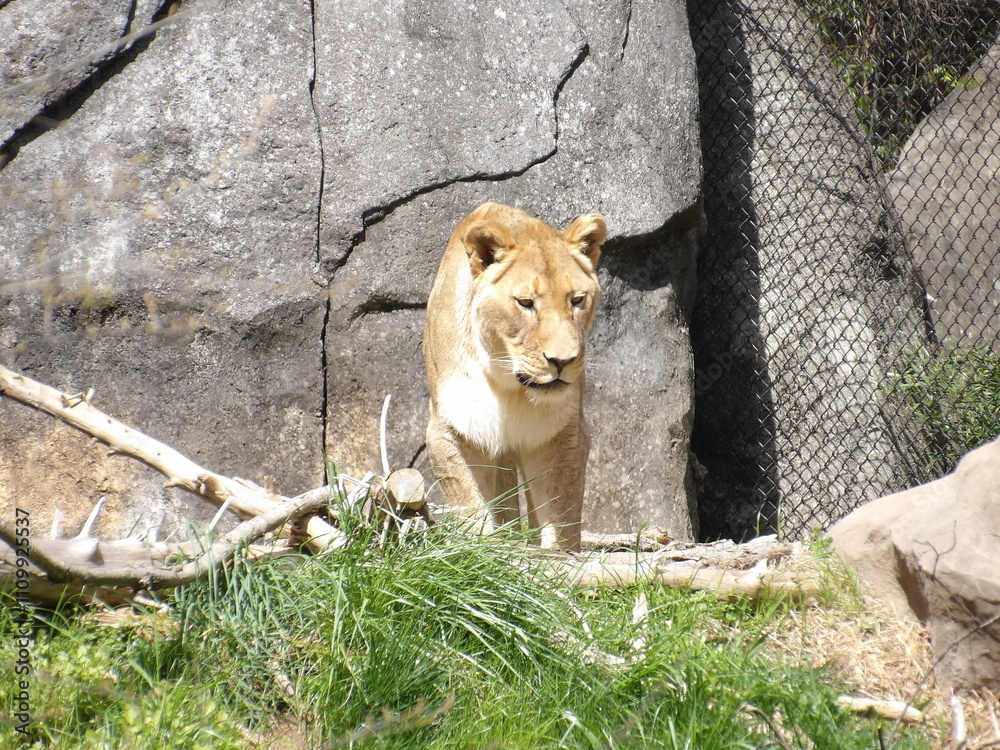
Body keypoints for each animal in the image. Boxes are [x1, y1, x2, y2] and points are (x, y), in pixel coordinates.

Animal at [423, 202, 606, 551]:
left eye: (577, 300)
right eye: (525, 303)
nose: (562, 360)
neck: (507, 384)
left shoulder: (564, 433)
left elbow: (561, 511)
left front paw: (556, 557)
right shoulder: (450, 429)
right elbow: (469, 506)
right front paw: (480, 551)